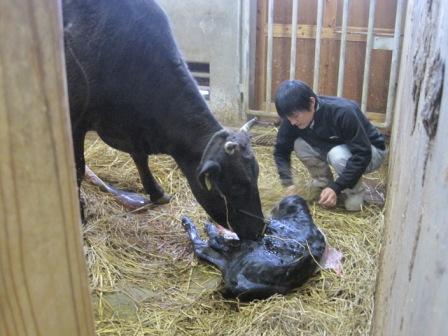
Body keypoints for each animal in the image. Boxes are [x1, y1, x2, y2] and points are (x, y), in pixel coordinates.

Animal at [63, 1, 266, 240]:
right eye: (236, 186)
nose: (260, 230)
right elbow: (77, 168)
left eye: (256, 175)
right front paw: (78, 214)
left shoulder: (133, 131)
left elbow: (140, 158)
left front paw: (156, 192)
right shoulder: (75, 121)